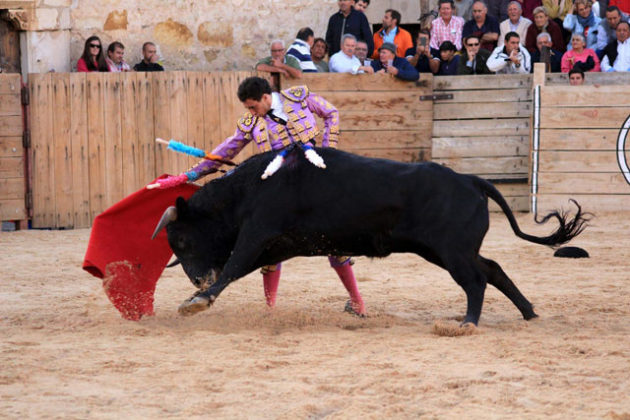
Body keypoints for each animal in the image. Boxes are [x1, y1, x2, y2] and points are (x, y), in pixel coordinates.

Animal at [156, 146, 592, 326]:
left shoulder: (257, 235)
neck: (251, 187)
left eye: (182, 240)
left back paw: (468, 322)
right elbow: (244, 270)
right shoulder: (273, 246)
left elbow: (233, 267)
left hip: (451, 252)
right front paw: (198, 299)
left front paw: (196, 303)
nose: (198, 279)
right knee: (494, 269)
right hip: (446, 251)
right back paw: (528, 312)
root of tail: (471, 179)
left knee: (476, 280)